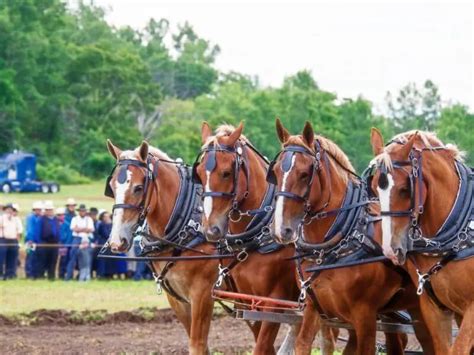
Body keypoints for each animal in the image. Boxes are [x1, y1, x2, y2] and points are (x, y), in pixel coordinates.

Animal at [104, 140, 219, 354]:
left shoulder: (203, 294)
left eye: (138, 188)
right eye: (112, 188)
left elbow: (197, 344)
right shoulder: (177, 298)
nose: (117, 240)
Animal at [193, 123, 304, 355]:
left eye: (226, 173)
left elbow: (261, 346)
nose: (211, 229)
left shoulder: (274, 301)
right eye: (198, 173)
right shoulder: (247, 301)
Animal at [266, 120, 434, 355]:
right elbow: (303, 344)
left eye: (305, 174)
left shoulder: (364, 316)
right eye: (275, 172)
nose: (282, 229)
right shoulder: (313, 308)